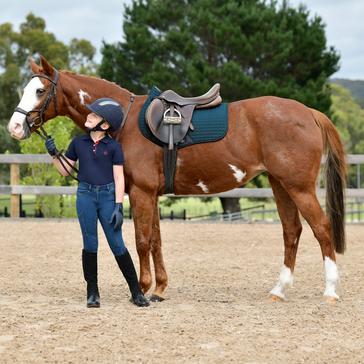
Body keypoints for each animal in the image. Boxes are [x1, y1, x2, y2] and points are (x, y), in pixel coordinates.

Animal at [7, 56, 346, 302]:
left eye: (40, 91)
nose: (14, 127)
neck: (124, 120)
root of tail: (309, 112)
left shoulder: (141, 193)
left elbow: (142, 241)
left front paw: (142, 288)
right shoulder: (150, 194)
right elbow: (156, 240)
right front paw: (159, 289)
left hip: (299, 187)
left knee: (321, 228)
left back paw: (330, 290)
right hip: (280, 185)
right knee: (292, 231)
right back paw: (279, 289)